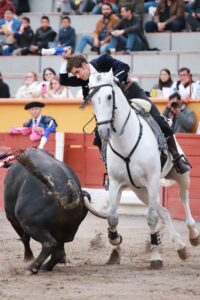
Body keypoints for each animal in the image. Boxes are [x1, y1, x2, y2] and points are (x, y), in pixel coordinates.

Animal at [86, 70, 200, 270]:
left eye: (109, 96)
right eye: (91, 98)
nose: (104, 132)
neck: (125, 141)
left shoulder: (152, 180)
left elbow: (151, 218)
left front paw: (155, 258)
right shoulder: (116, 182)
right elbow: (112, 216)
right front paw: (115, 239)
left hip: (181, 176)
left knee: (183, 198)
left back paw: (193, 235)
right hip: (140, 191)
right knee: (165, 211)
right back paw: (180, 247)